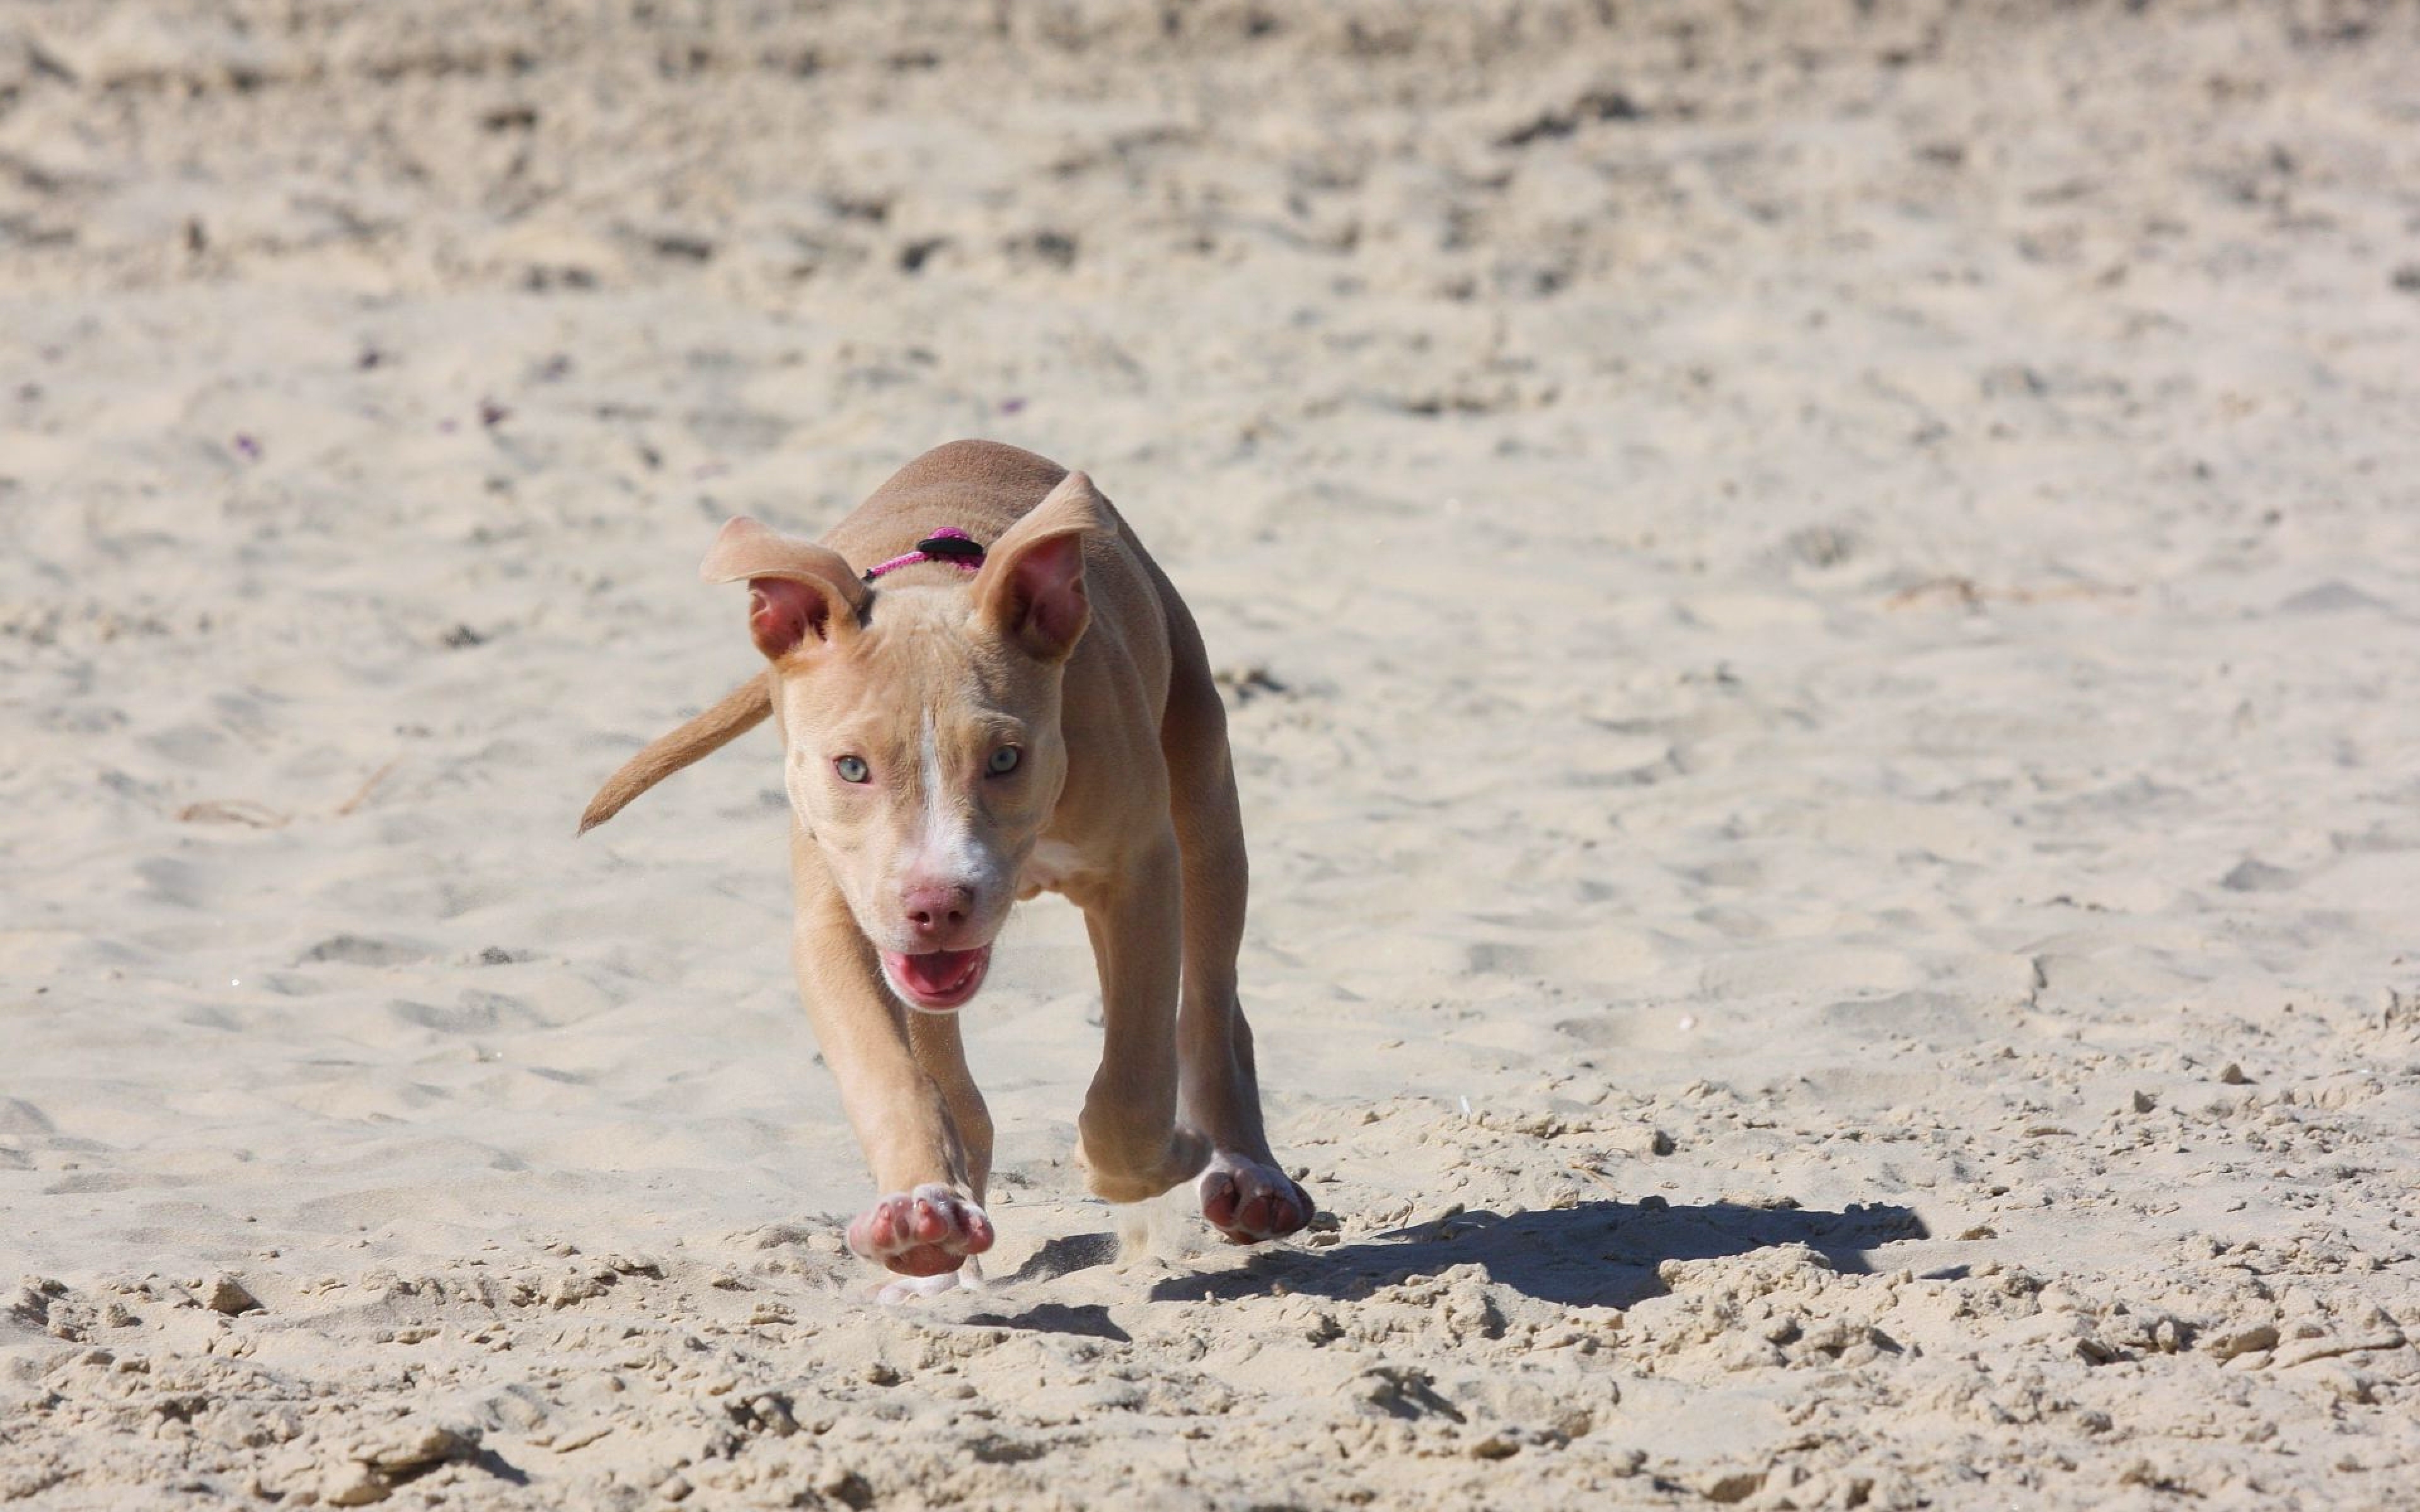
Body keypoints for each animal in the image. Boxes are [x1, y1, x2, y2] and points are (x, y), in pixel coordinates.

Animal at [578, 442, 1316, 1286]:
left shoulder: (1137, 872)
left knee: (1212, 1002)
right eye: (851, 767)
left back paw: (1246, 1173)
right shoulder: (836, 920)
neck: (926, 588)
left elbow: (1133, 1077)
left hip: (1205, 801)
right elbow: (885, 1071)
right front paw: (916, 1213)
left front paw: (1156, 1160)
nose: (937, 903)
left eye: (1005, 758)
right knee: (956, 1085)